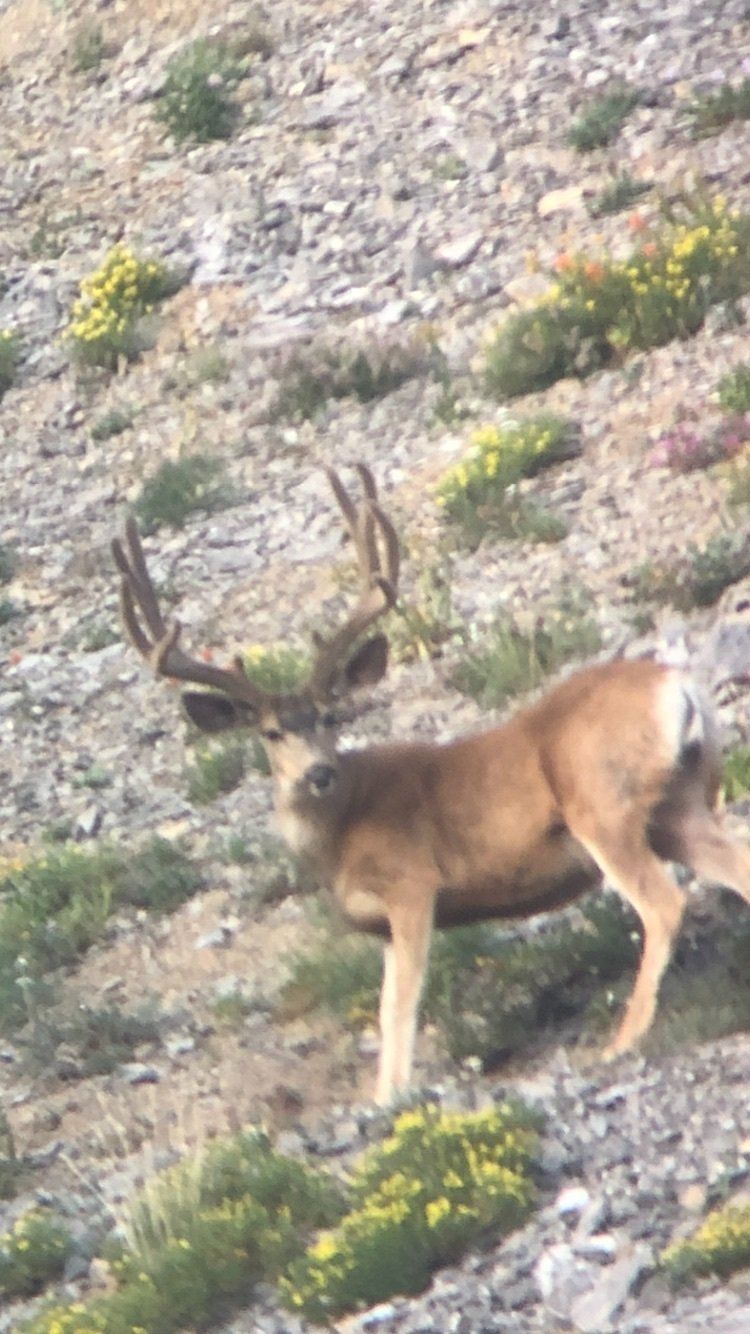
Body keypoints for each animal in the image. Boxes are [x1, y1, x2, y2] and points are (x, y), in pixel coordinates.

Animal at [112, 465, 750, 1106]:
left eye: (330, 715)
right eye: (271, 733)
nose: (318, 773)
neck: (340, 835)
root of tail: (677, 684)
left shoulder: (412, 884)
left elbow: (398, 1007)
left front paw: (391, 1098)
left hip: (602, 807)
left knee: (664, 903)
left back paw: (622, 1040)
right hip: (678, 807)